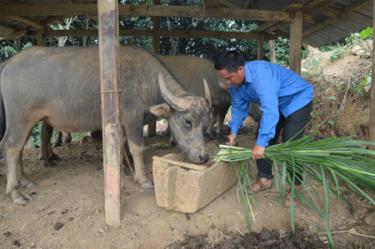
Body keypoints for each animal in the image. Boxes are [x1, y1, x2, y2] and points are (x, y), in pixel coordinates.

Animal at [0, 46, 212, 204]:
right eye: (187, 121)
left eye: (206, 124)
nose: (204, 156)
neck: (146, 81)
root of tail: (10, 62)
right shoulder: (133, 119)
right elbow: (137, 148)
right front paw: (143, 179)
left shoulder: (122, 123)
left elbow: (121, 145)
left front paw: (123, 169)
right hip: (21, 118)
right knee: (10, 147)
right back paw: (15, 192)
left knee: (19, 148)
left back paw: (25, 180)